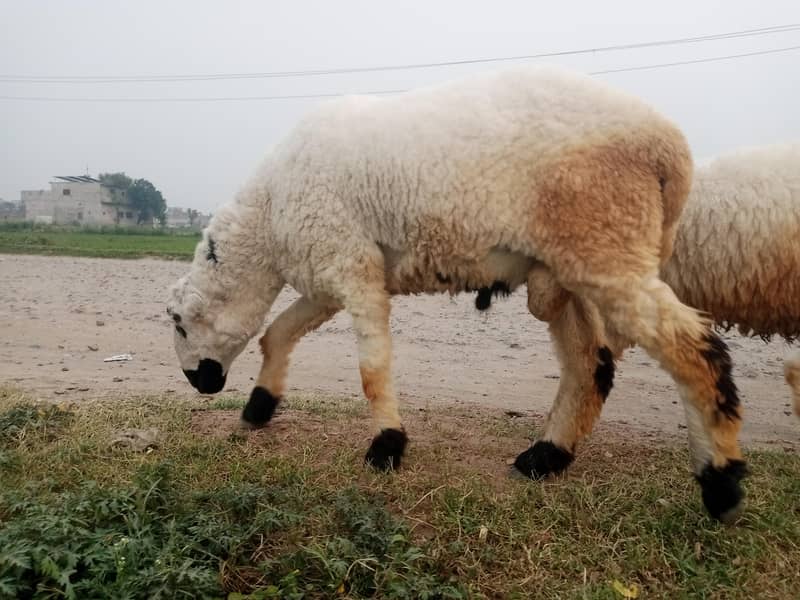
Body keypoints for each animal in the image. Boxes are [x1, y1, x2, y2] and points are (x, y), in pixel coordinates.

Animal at [167, 64, 746, 523]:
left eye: (176, 320)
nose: (198, 382)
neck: (268, 216)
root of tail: (670, 148)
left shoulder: (351, 264)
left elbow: (371, 368)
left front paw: (387, 447)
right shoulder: (329, 271)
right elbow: (277, 333)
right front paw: (260, 406)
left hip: (607, 243)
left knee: (694, 350)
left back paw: (721, 484)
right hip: (572, 266)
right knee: (591, 365)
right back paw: (545, 458)